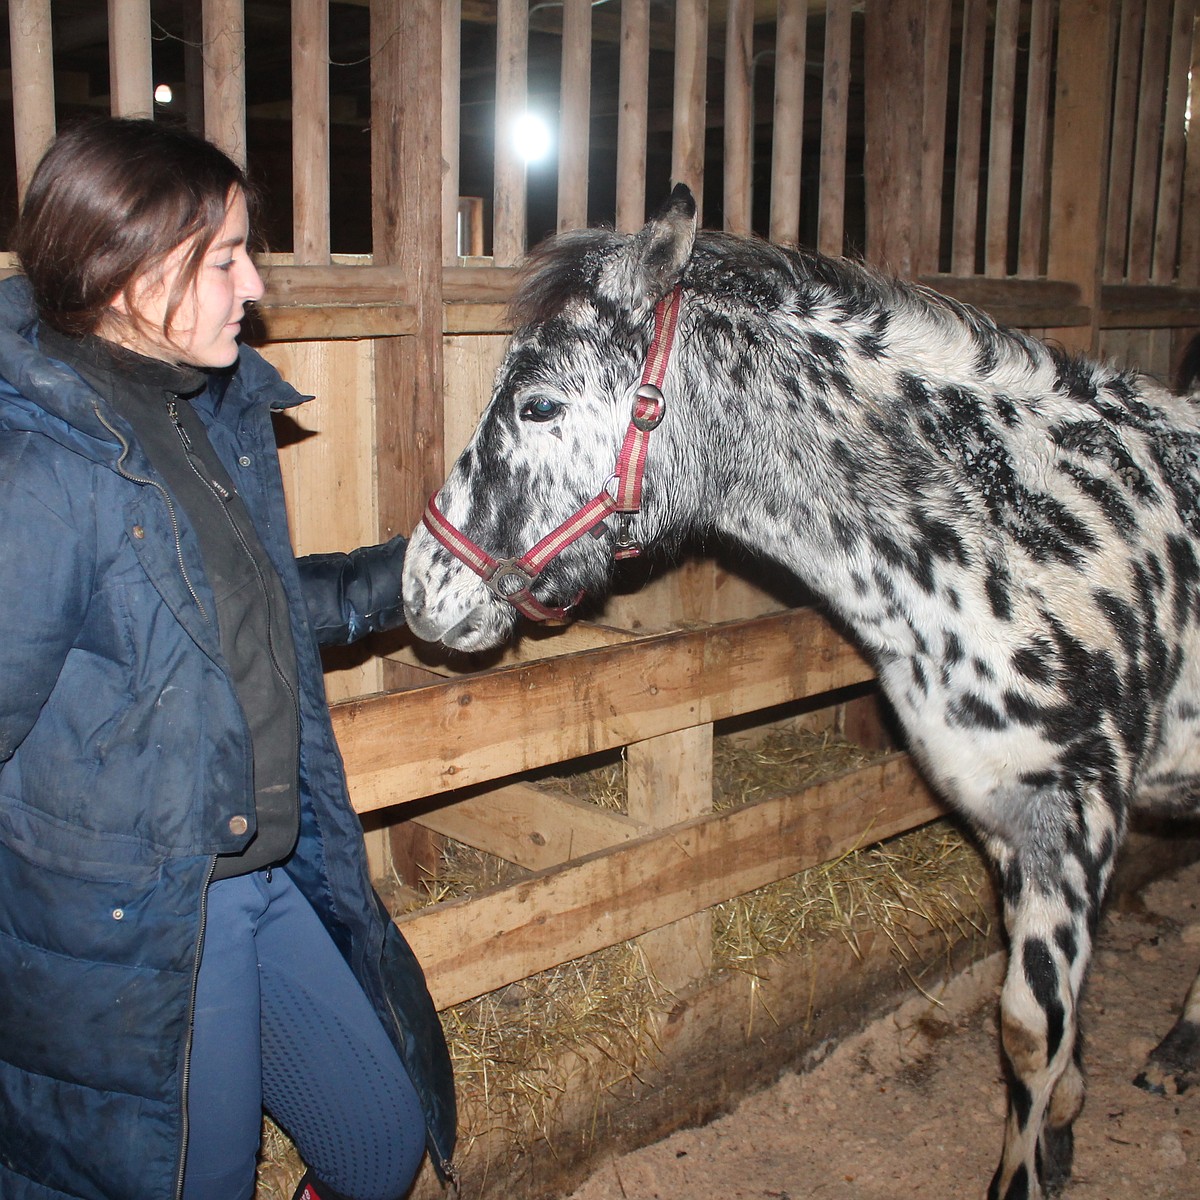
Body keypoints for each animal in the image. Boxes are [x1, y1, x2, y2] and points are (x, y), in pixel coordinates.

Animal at [403, 182, 1200, 1195]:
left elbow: (1030, 1031)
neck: (1026, 538)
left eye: (539, 403)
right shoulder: (1010, 824)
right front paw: (1061, 1132)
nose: (420, 588)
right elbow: (1063, 1021)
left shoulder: (1077, 816)